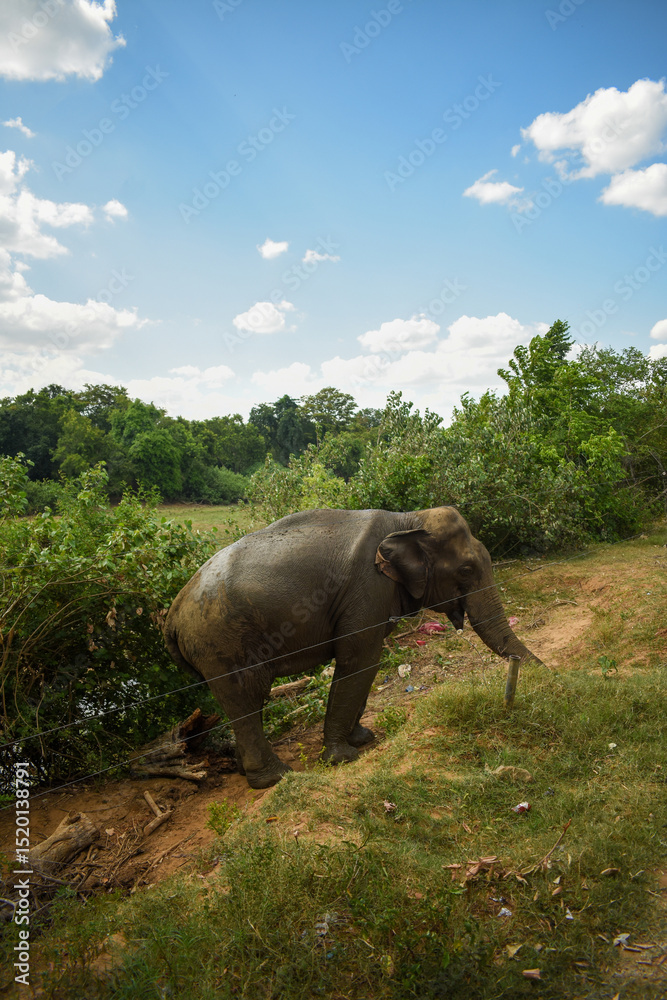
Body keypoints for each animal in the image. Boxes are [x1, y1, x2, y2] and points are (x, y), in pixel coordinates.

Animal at [164, 506, 541, 789]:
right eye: (466, 569)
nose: (547, 674)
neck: (407, 520)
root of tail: (172, 616)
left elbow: (367, 664)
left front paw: (362, 738)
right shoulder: (368, 588)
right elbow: (360, 660)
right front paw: (342, 757)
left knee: (248, 701)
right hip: (221, 642)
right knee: (246, 697)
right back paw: (275, 779)